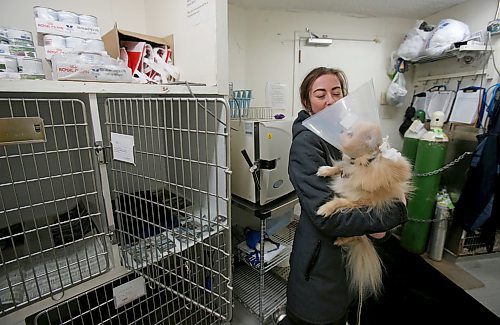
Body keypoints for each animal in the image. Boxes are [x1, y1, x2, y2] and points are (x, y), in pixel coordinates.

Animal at [316, 120, 410, 300]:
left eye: (351, 134)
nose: (340, 130)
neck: (360, 164)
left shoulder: (359, 201)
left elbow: (340, 201)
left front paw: (325, 208)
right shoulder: (346, 168)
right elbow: (340, 166)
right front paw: (325, 170)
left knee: (356, 237)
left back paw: (340, 240)